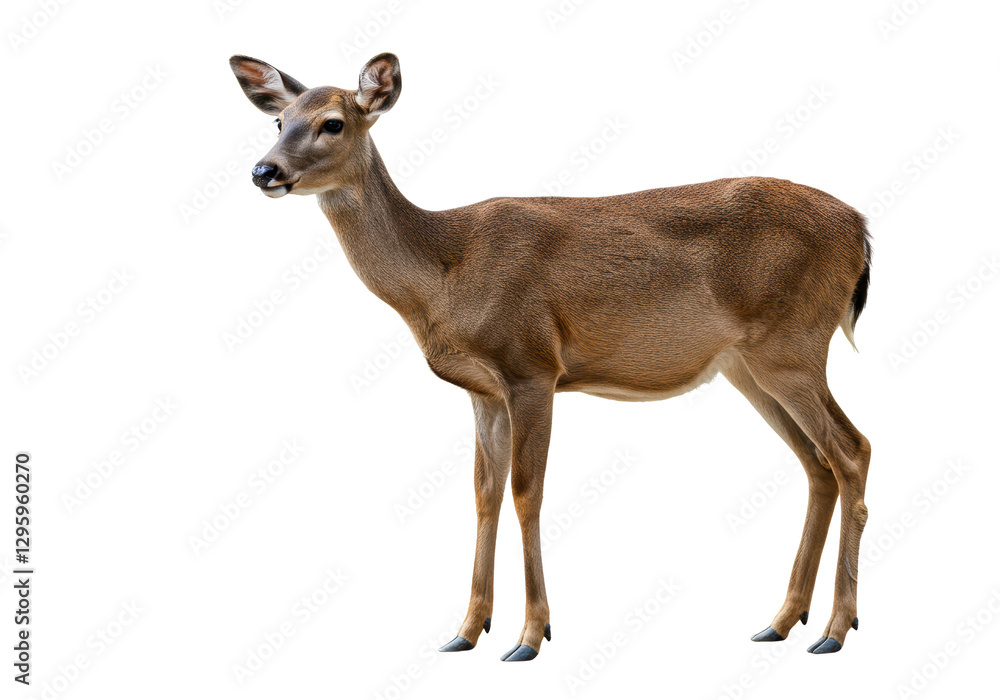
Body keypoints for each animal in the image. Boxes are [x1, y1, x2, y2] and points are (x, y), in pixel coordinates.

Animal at [230, 52, 872, 661]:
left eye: (332, 123)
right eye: (280, 121)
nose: (264, 171)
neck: (444, 275)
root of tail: (860, 227)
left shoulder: (531, 366)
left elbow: (527, 491)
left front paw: (530, 635)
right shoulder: (483, 389)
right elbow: (484, 493)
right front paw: (466, 630)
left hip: (792, 345)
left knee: (852, 449)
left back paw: (836, 629)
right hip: (749, 366)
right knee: (817, 464)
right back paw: (782, 621)